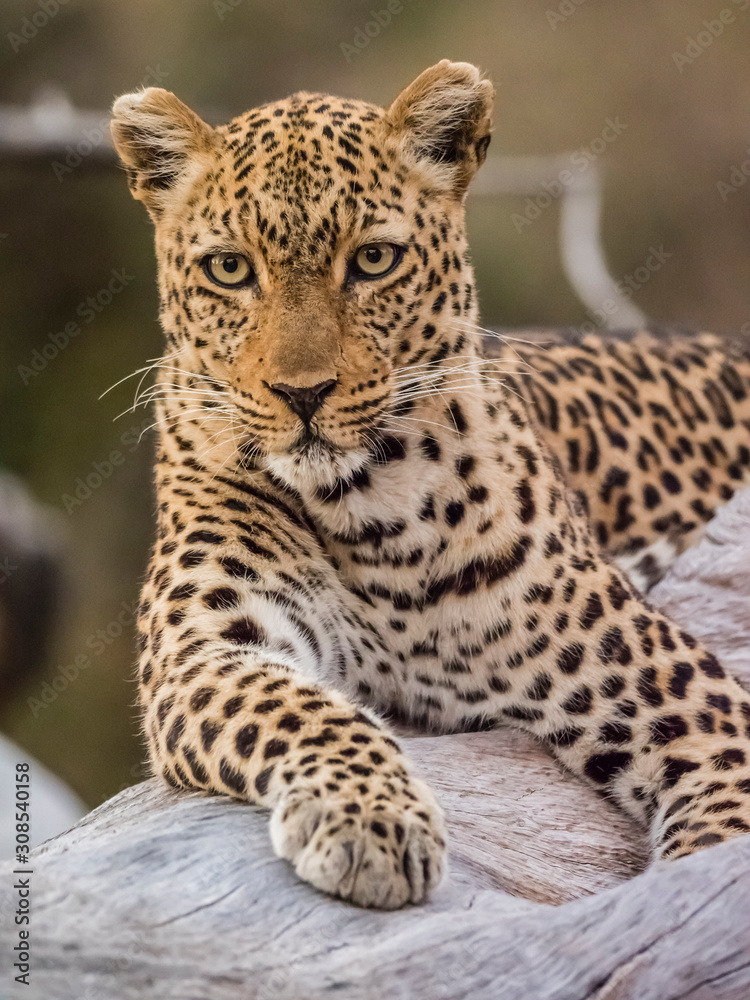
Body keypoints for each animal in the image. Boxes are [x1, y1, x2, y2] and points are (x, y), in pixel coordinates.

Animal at [110, 58, 750, 912]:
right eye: (230, 269)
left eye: (374, 261)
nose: (302, 395)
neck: (370, 513)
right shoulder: (205, 648)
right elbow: (299, 707)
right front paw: (370, 823)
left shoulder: (685, 700)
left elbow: (716, 848)